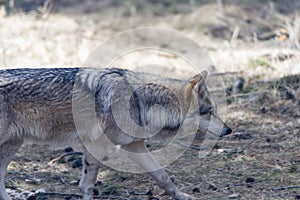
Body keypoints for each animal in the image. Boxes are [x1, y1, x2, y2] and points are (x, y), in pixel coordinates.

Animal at [0, 68, 232, 199]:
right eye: (208, 112)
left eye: (214, 110)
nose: (228, 130)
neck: (140, 101)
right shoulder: (95, 145)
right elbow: (87, 186)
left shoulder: (134, 145)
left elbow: (163, 176)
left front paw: (182, 196)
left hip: (12, 145)